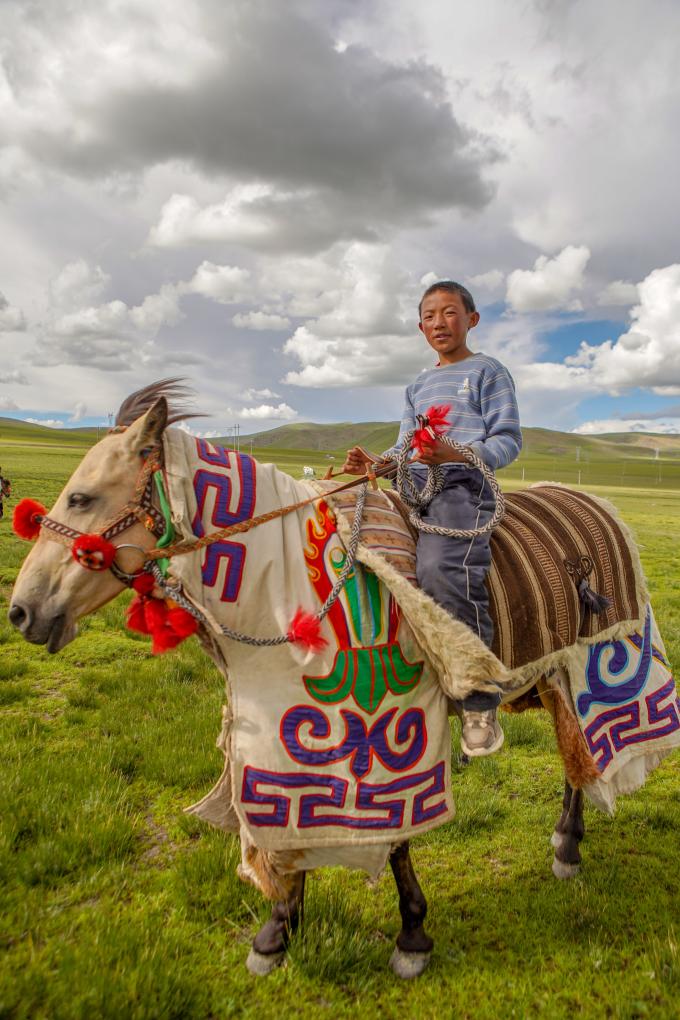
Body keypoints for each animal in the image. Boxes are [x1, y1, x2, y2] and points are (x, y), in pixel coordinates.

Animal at [9, 383, 680, 979]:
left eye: (81, 498)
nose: (21, 611)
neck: (286, 590)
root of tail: (601, 506)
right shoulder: (289, 743)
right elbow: (288, 837)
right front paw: (278, 931)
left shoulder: (389, 729)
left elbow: (399, 839)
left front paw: (412, 937)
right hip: (549, 676)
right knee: (575, 753)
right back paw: (566, 841)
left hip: (586, 664)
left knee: (583, 750)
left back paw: (567, 846)